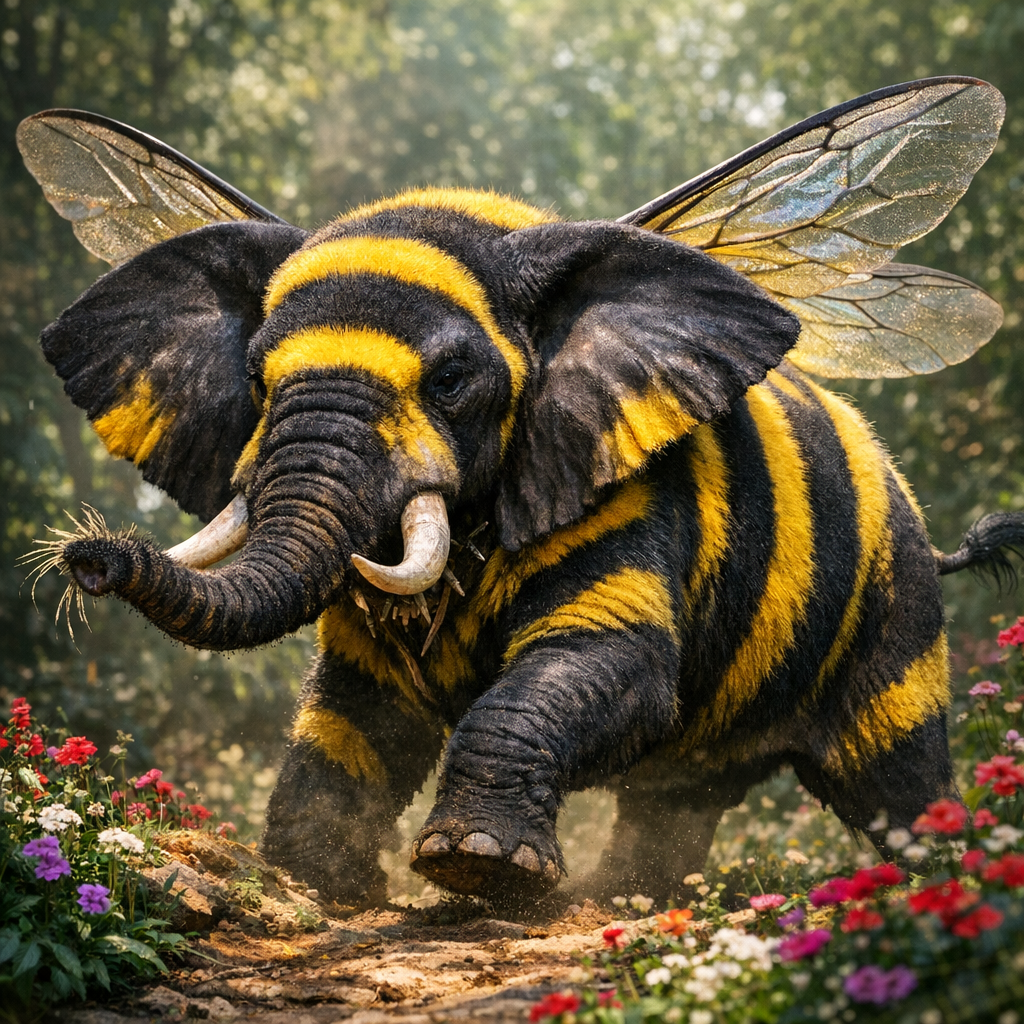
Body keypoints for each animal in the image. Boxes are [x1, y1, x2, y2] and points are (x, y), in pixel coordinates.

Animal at [21, 78, 1024, 904]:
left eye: (452, 381)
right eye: (260, 379)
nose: (87, 557)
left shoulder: (616, 482)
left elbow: (605, 666)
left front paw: (479, 870)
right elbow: (358, 709)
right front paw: (319, 886)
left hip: (894, 621)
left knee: (899, 781)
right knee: (679, 796)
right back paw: (622, 901)